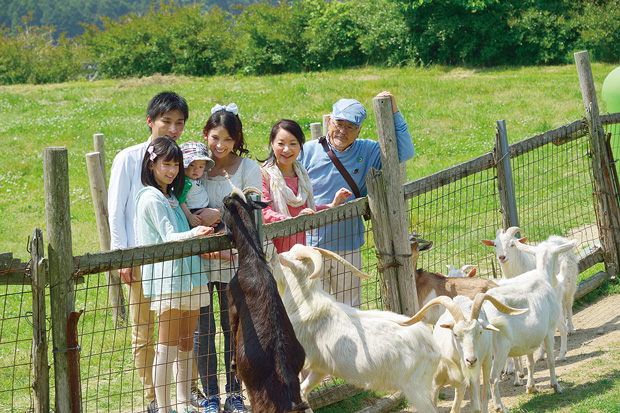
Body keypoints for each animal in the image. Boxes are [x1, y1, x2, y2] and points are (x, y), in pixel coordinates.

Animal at [223, 187, 310, 412]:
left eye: (224, 205)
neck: (254, 261)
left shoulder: (232, 299)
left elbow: (232, 326)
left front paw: (233, 363)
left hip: (260, 402)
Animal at [274, 245, 444, 412]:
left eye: (288, 256)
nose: (274, 258)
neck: (304, 304)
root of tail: (434, 348)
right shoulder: (321, 368)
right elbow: (303, 393)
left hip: (415, 389)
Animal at [482, 225, 580, 360]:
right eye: (495, 245)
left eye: (512, 244)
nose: (502, 257)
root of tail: (558, 237)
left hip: (570, 282)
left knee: (568, 304)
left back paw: (570, 328)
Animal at [484, 238, 576, 412]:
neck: (542, 277)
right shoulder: (548, 331)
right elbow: (550, 360)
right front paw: (556, 386)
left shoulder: (528, 339)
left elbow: (530, 363)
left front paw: (531, 387)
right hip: (500, 348)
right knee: (492, 379)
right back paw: (500, 407)